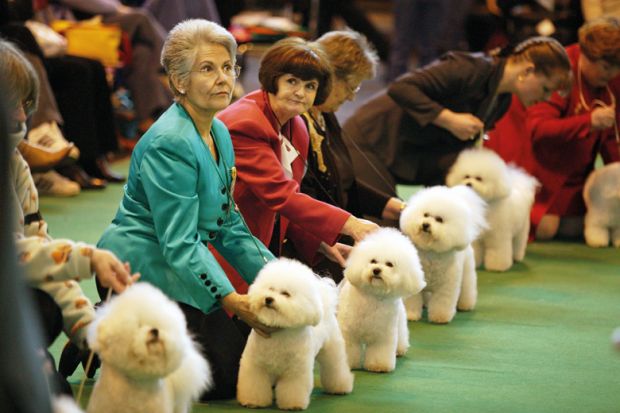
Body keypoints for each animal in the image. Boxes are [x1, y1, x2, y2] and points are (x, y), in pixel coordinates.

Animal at [237, 258, 354, 408]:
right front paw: (252, 401)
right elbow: (254, 384)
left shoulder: (296, 370)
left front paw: (293, 405)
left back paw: (341, 387)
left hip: (332, 351)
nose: (268, 299)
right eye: (270, 288)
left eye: (285, 294)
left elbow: (293, 388)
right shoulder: (255, 366)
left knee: (336, 368)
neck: (279, 332)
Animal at [340, 227, 426, 372]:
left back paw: (400, 350)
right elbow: (349, 349)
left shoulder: (383, 336)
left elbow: (379, 352)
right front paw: (348, 364)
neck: (373, 295)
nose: (376, 270)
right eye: (373, 261)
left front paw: (378, 366)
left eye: (389, 264)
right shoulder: (349, 333)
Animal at [400, 185, 486, 324]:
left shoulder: (446, 286)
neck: (431, 253)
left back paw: (465, 305)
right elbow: (412, 300)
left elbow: (442, 302)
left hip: (467, 271)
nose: (425, 224)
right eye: (425, 214)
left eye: (439, 219)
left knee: (468, 288)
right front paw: (411, 315)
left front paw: (440, 317)